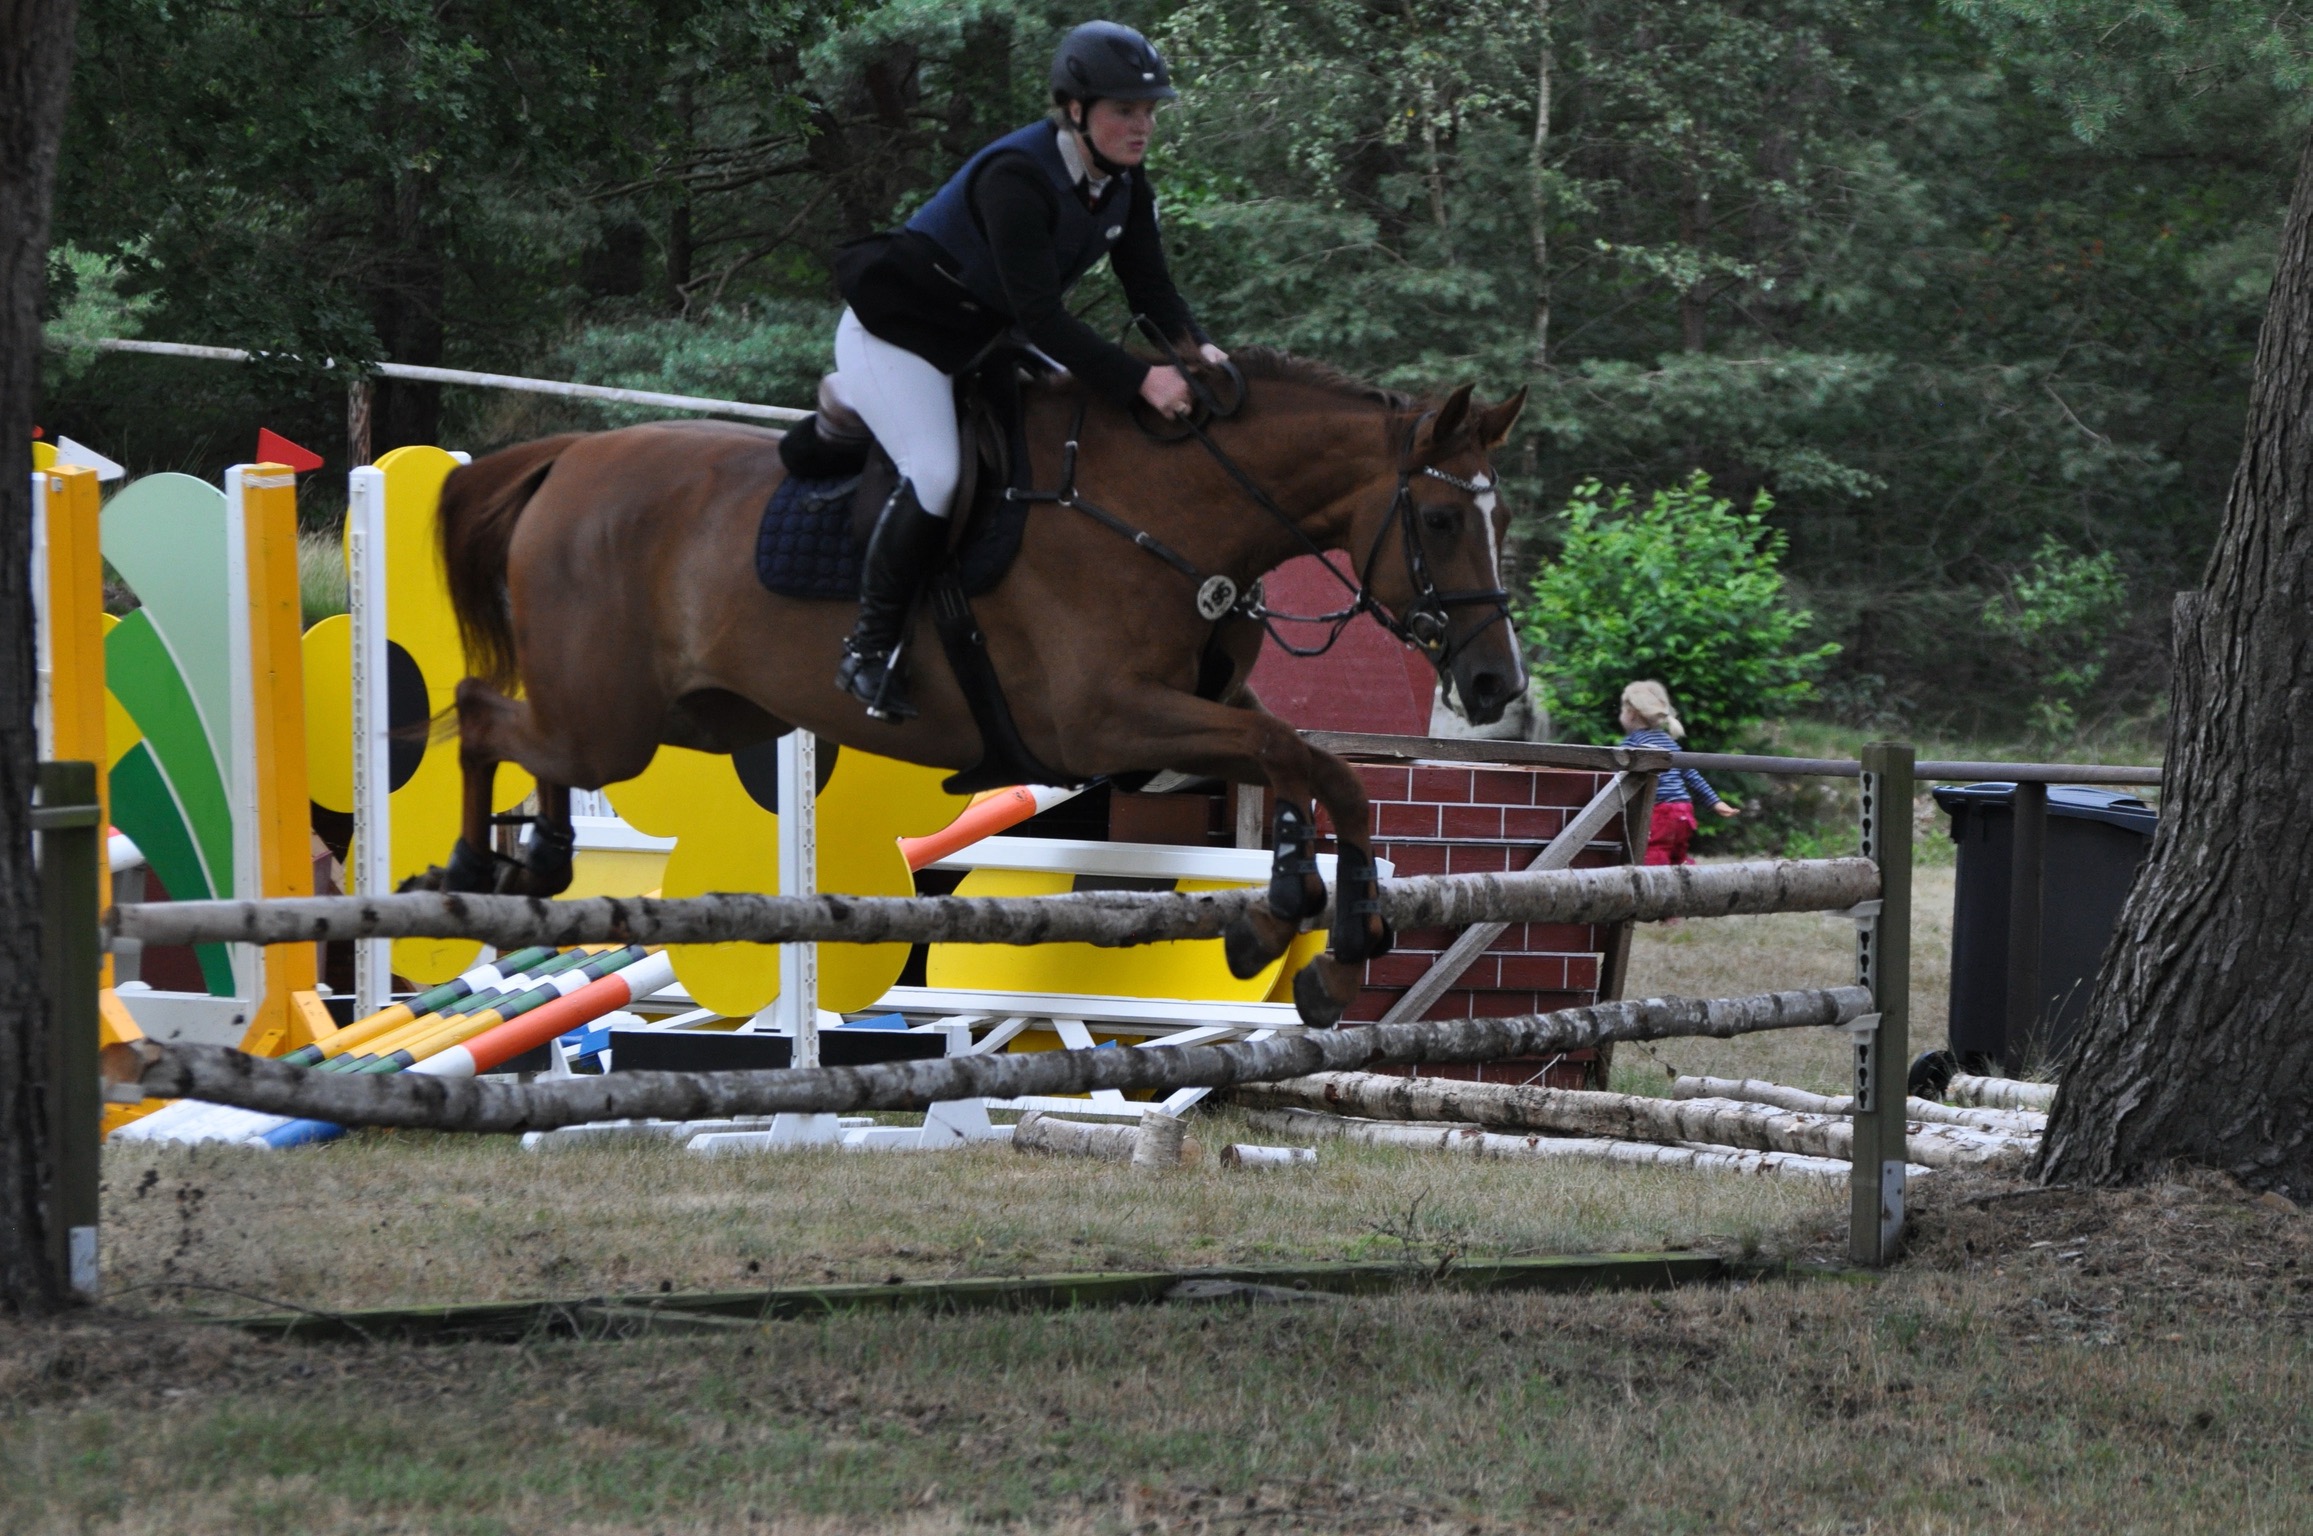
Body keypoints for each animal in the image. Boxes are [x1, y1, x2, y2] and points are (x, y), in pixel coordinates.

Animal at [427, 348, 1528, 1025]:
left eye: (1502, 519)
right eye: (1439, 520)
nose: (1493, 684)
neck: (1164, 511)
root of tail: (569, 457)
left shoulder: (1186, 720)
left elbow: (1314, 765)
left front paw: (1309, 930)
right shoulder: (1106, 726)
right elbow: (1295, 758)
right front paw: (1311, 923)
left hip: (684, 718)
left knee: (526, 734)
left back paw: (540, 862)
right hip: (615, 719)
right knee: (482, 715)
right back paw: (471, 867)